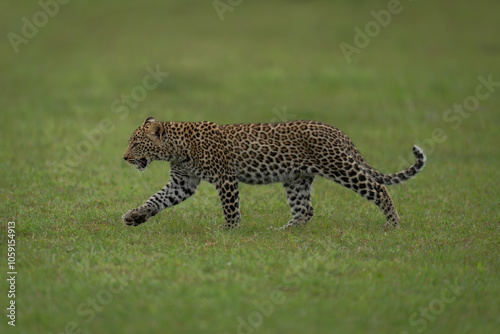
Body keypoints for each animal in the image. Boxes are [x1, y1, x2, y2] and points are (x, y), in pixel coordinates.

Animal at [122, 117, 426, 230]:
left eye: (135, 143)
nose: (124, 157)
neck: (175, 148)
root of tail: (338, 131)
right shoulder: (183, 183)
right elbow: (156, 199)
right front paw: (135, 216)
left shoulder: (225, 177)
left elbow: (230, 208)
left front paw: (229, 232)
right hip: (296, 179)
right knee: (304, 210)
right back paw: (283, 233)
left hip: (340, 167)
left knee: (379, 189)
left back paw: (392, 224)